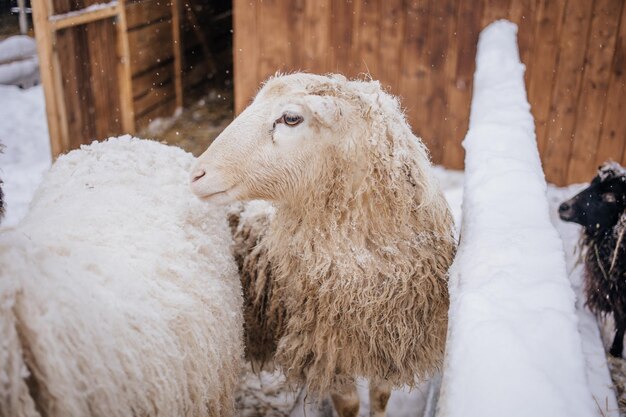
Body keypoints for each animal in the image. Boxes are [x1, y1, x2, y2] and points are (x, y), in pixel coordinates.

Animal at [190, 73, 454, 416]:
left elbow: (381, 396)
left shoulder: (391, 341)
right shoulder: (328, 351)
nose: (196, 174)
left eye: (291, 118)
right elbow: (350, 405)